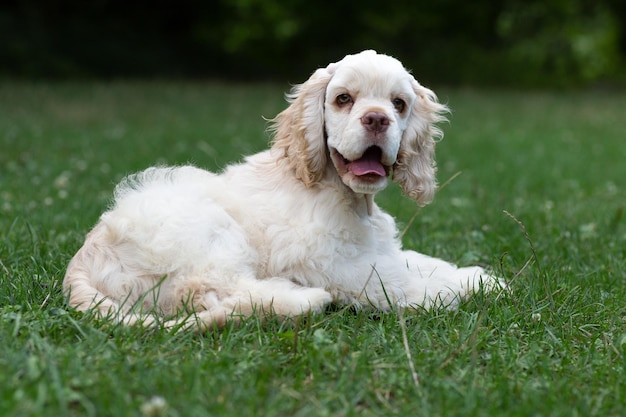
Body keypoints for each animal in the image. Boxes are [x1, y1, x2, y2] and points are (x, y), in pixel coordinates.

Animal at [63, 49, 500, 328]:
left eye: (399, 104)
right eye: (343, 99)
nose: (377, 119)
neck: (344, 195)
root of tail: (80, 265)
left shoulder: (379, 251)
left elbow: (420, 261)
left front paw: (479, 276)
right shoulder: (335, 265)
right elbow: (407, 286)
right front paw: (464, 287)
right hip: (210, 229)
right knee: (214, 292)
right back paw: (304, 299)